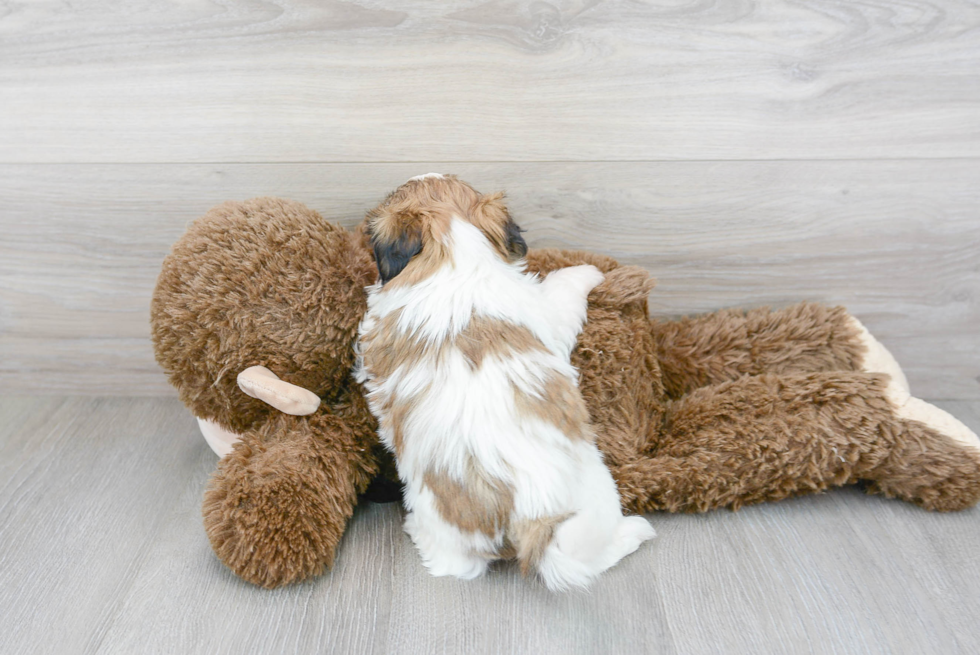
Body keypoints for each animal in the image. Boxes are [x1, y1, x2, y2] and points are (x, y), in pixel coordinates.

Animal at [356, 173, 656, 588]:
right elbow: (565, 288)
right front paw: (588, 272)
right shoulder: (546, 313)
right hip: (595, 495)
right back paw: (632, 534)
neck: (453, 254)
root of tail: (525, 518)